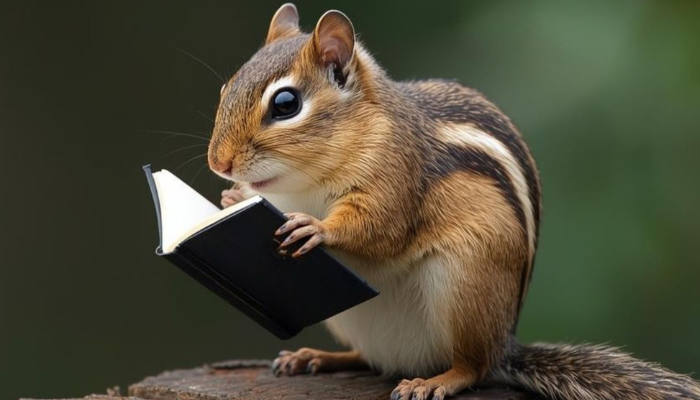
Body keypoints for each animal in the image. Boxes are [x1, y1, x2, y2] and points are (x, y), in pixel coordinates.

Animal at [207, 4, 700, 400]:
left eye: (285, 104)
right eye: (226, 89)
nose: (219, 163)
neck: (303, 182)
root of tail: (505, 344)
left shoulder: (397, 177)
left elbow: (379, 227)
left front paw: (317, 226)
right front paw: (233, 196)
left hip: (465, 281)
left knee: (472, 367)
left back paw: (435, 381)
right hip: (354, 319)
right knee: (373, 359)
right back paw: (320, 357)